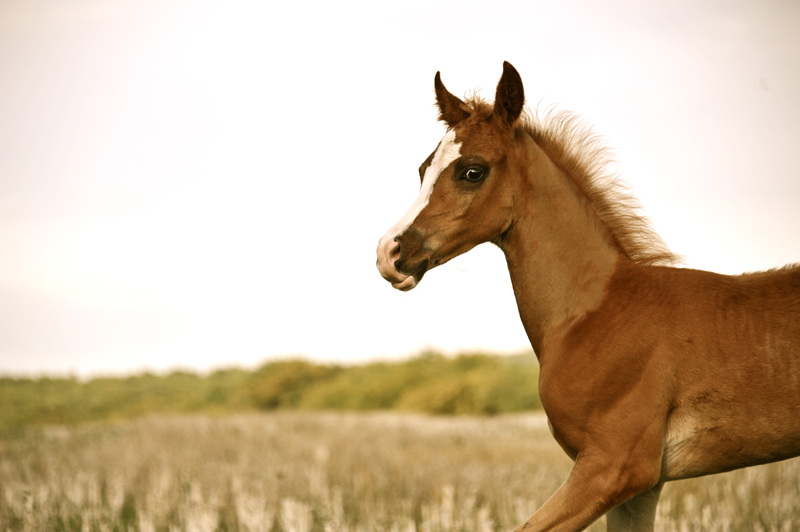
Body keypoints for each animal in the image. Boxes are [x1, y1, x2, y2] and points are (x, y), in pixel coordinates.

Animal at [376, 61, 800, 528]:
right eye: (423, 169)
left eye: (472, 171)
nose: (390, 252)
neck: (597, 311)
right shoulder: (643, 488)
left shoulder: (615, 467)